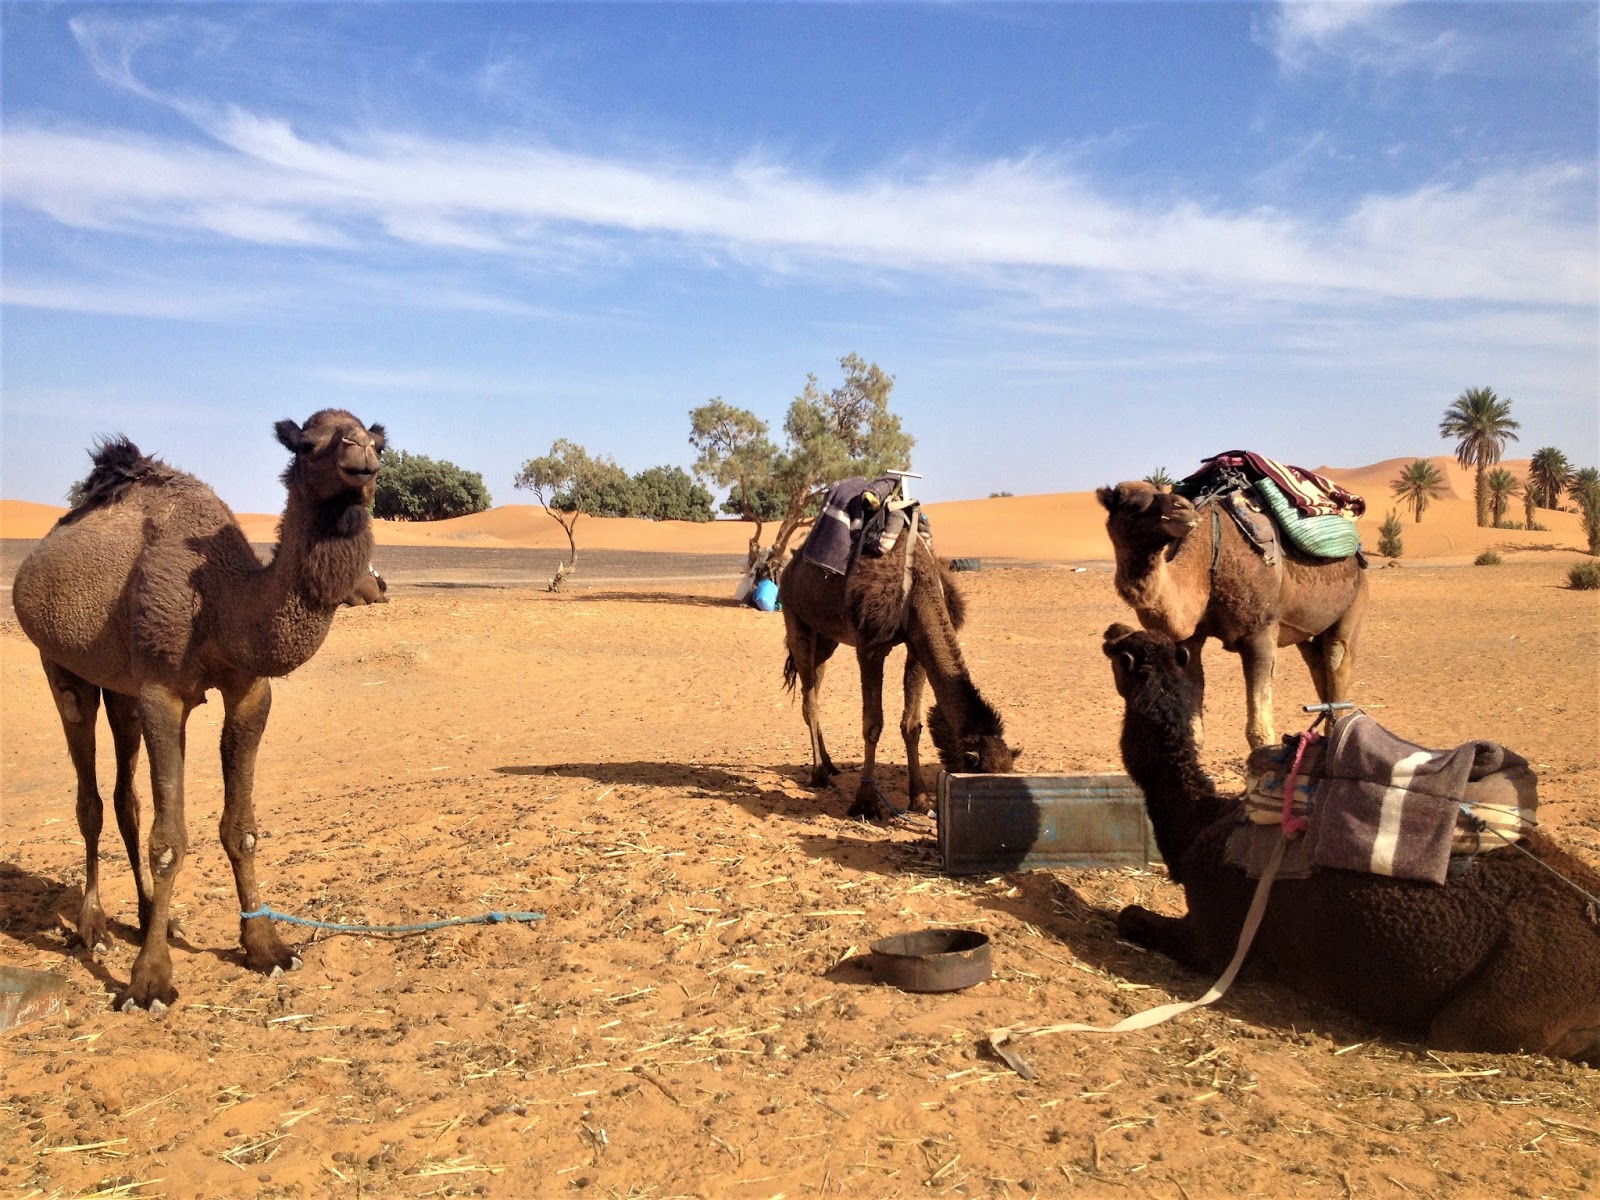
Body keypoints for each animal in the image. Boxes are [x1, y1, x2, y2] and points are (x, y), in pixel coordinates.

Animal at [11, 412, 384, 1017]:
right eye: (308, 445)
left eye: (378, 443)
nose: (362, 460)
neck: (220, 599)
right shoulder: (162, 693)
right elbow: (169, 842)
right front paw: (148, 983)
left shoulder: (250, 691)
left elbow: (241, 828)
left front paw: (266, 947)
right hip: (62, 667)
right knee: (90, 799)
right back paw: (93, 927)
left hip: (121, 687)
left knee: (126, 799)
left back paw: (150, 918)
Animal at [1100, 483, 1376, 752]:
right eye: (1133, 505)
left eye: (1161, 492)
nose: (1183, 508)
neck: (1207, 562)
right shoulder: (1189, 640)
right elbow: (1194, 730)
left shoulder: (1260, 632)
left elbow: (1260, 732)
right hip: (1308, 632)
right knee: (1319, 669)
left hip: (1357, 602)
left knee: (1337, 660)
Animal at [1100, 624, 1600, 1068]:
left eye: (1123, 651)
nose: (1110, 629)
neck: (1203, 821)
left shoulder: (1214, 928)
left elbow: (1133, 918)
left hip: (1503, 1008)